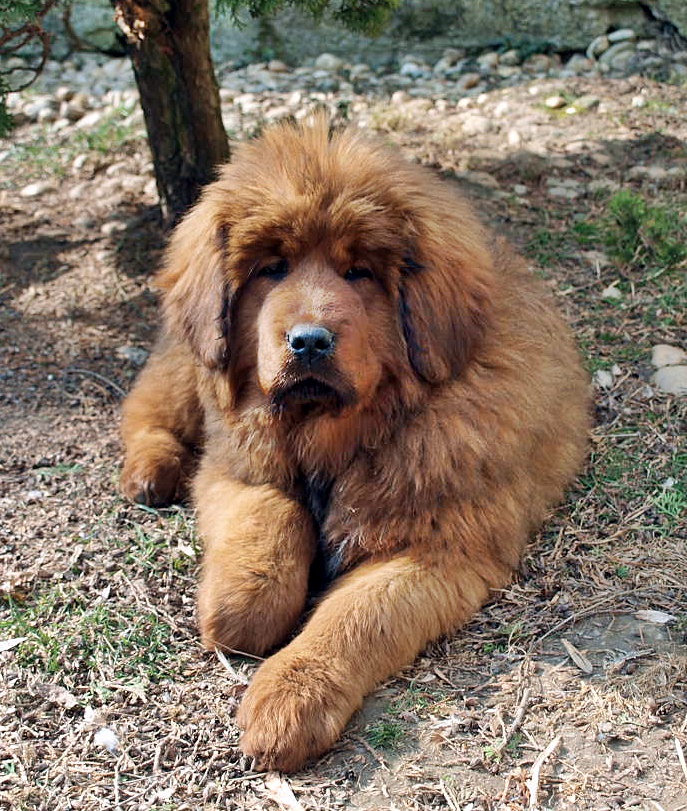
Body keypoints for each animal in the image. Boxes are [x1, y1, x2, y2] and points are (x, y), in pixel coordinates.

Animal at [120, 117, 590, 772]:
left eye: (359, 272)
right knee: (146, 407)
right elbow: (270, 519)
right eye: (272, 268)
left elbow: (356, 617)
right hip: (188, 365)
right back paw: (150, 471)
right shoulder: (236, 467)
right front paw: (240, 606)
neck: (336, 433)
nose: (309, 342)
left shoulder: (442, 548)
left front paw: (287, 701)